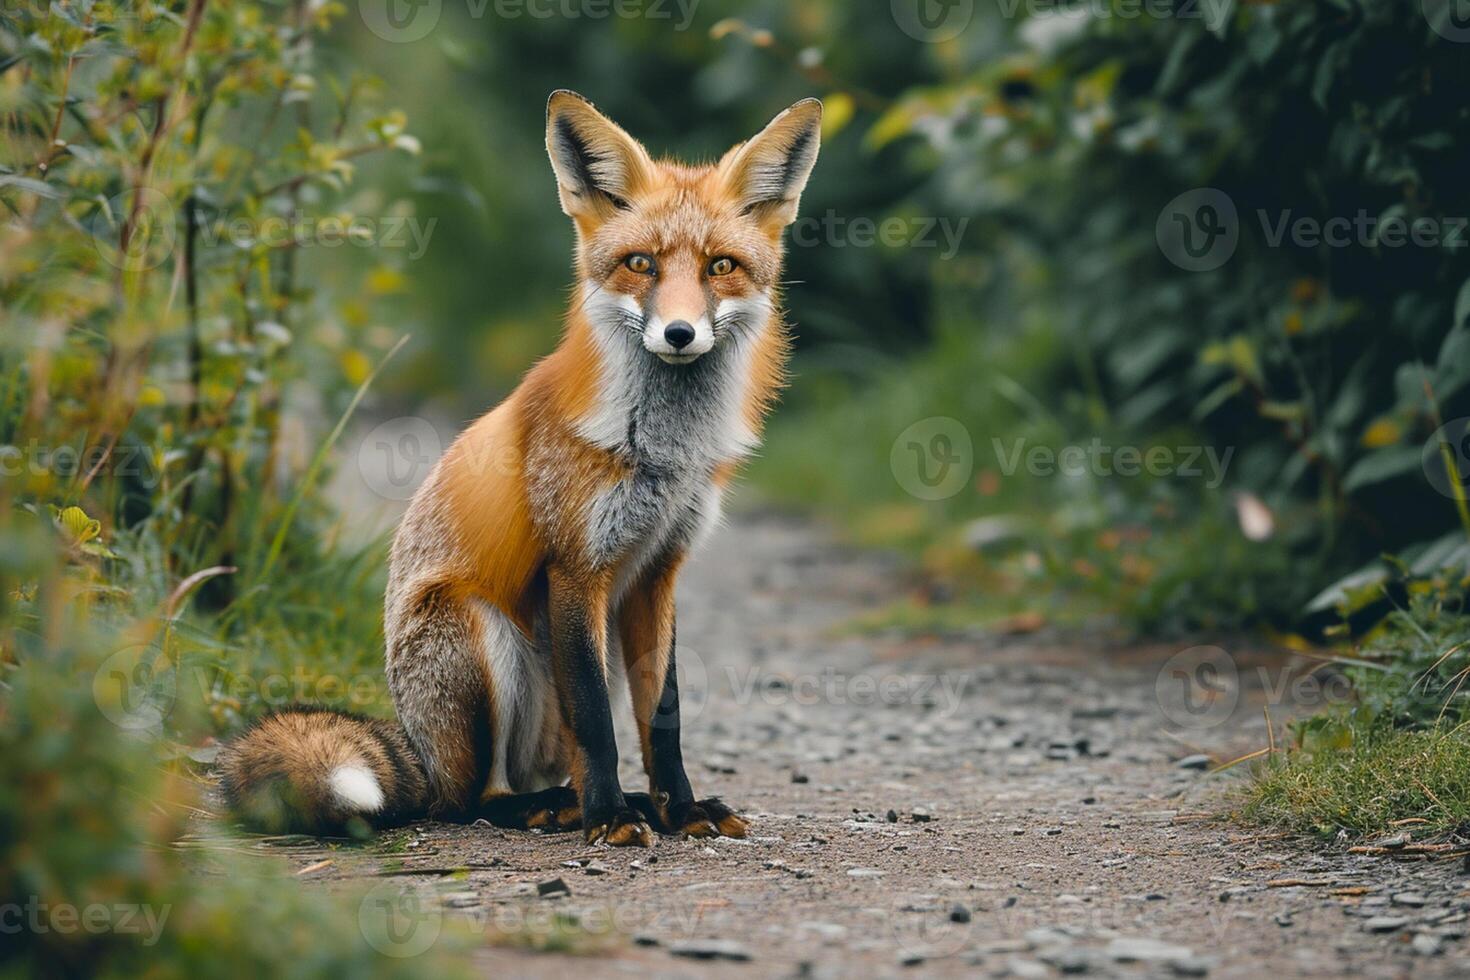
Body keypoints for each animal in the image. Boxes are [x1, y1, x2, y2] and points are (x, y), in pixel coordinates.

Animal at [217, 88, 823, 846]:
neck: (663, 453)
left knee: (543, 772)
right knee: (470, 799)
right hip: (483, 634)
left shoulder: (657, 572)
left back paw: (576, 803)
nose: (679, 334)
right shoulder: (577, 567)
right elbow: (597, 723)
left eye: (720, 267)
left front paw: (678, 810)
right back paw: (551, 808)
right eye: (640, 264)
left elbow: (664, 720)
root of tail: (423, 756)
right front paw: (612, 818)